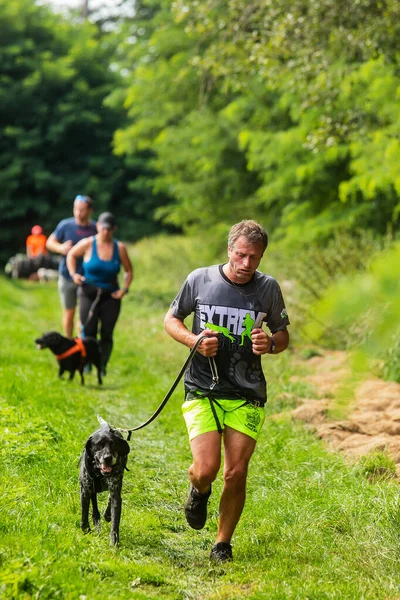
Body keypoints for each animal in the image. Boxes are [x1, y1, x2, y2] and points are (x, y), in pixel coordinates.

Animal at [77, 420, 129, 548]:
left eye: (114, 444)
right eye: (99, 444)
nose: (108, 458)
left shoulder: (115, 492)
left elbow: (115, 521)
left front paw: (114, 542)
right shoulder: (85, 490)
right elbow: (84, 512)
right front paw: (86, 529)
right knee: (95, 508)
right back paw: (96, 523)